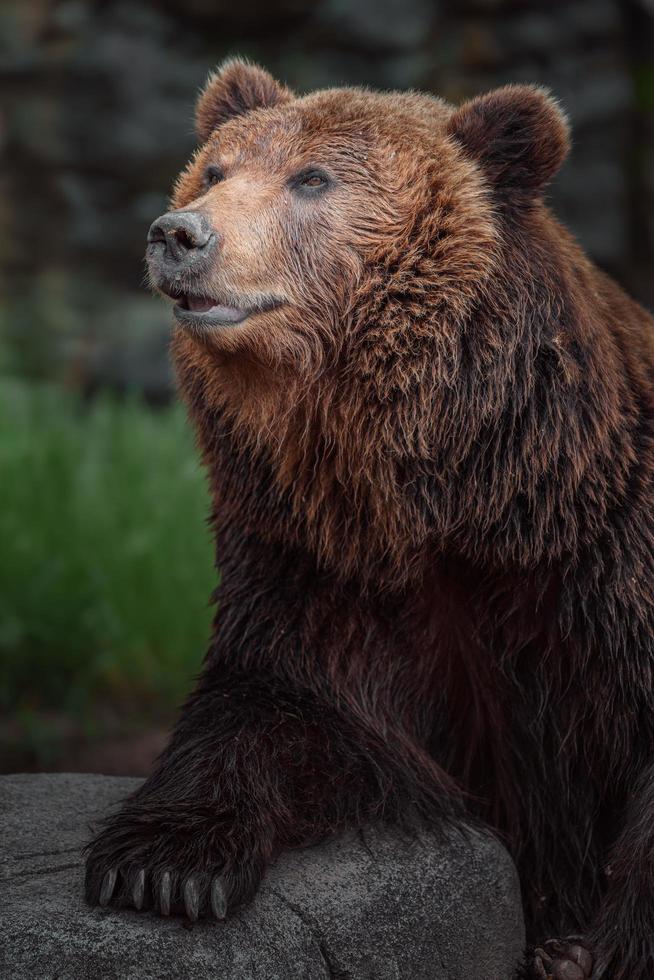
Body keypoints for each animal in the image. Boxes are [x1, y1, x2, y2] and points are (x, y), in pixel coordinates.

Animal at [84, 61, 654, 980]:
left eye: (312, 179)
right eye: (215, 171)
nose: (179, 234)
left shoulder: (599, 563)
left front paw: (588, 951)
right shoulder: (317, 561)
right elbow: (284, 703)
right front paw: (161, 867)